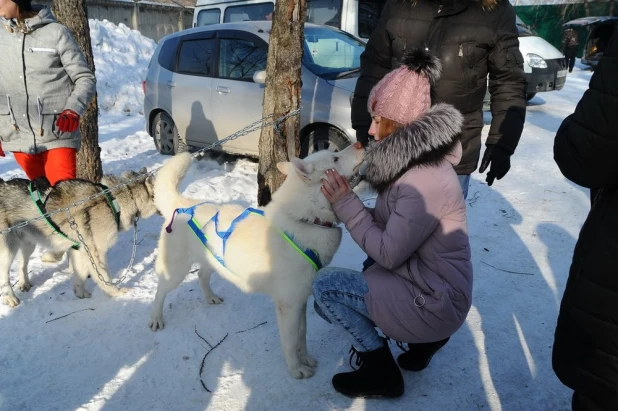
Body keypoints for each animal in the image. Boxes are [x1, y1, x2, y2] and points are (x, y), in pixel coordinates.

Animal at [1, 169, 159, 308]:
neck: (113, 200)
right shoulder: (96, 254)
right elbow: (105, 279)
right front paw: (117, 292)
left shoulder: (80, 250)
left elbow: (80, 276)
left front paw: (80, 294)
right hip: (9, 250)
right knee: (4, 275)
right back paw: (10, 297)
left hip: (28, 244)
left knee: (22, 264)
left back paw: (24, 283)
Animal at [149, 145, 364, 380]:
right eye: (335, 158)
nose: (360, 144)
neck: (305, 220)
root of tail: (182, 205)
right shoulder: (288, 307)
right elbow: (290, 343)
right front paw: (295, 369)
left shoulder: (300, 302)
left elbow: (302, 336)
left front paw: (305, 357)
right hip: (175, 272)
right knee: (160, 292)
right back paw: (156, 318)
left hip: (213, 262)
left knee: (201, 275)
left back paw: (210, 297)